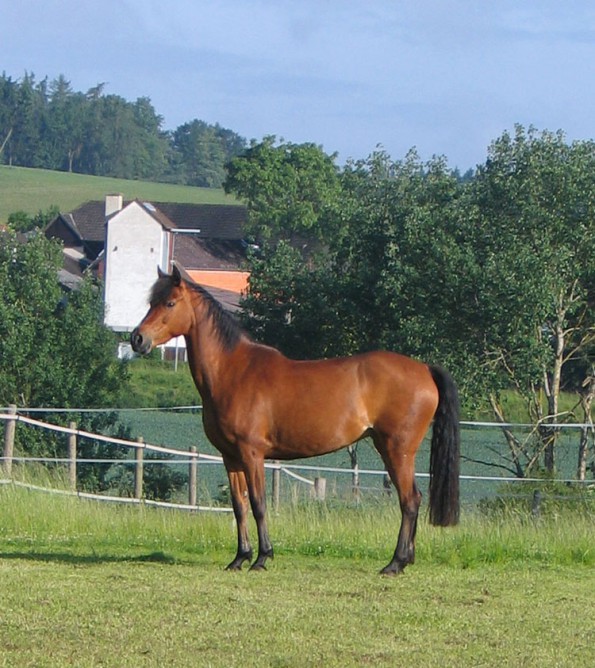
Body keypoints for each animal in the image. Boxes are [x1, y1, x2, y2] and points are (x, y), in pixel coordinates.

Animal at [132, 266, 460, 576]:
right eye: (151, 302)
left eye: (170, 302)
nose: (137, 338)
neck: (233, 371)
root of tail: (424, 369)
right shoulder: (230, 457)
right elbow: (239, 506)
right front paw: (240, 557)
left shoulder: (252, 454)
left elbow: (259, 504)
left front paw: (262, 558)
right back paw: (405, 560)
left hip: (397, 450)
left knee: (410, 500)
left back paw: (395, 563)